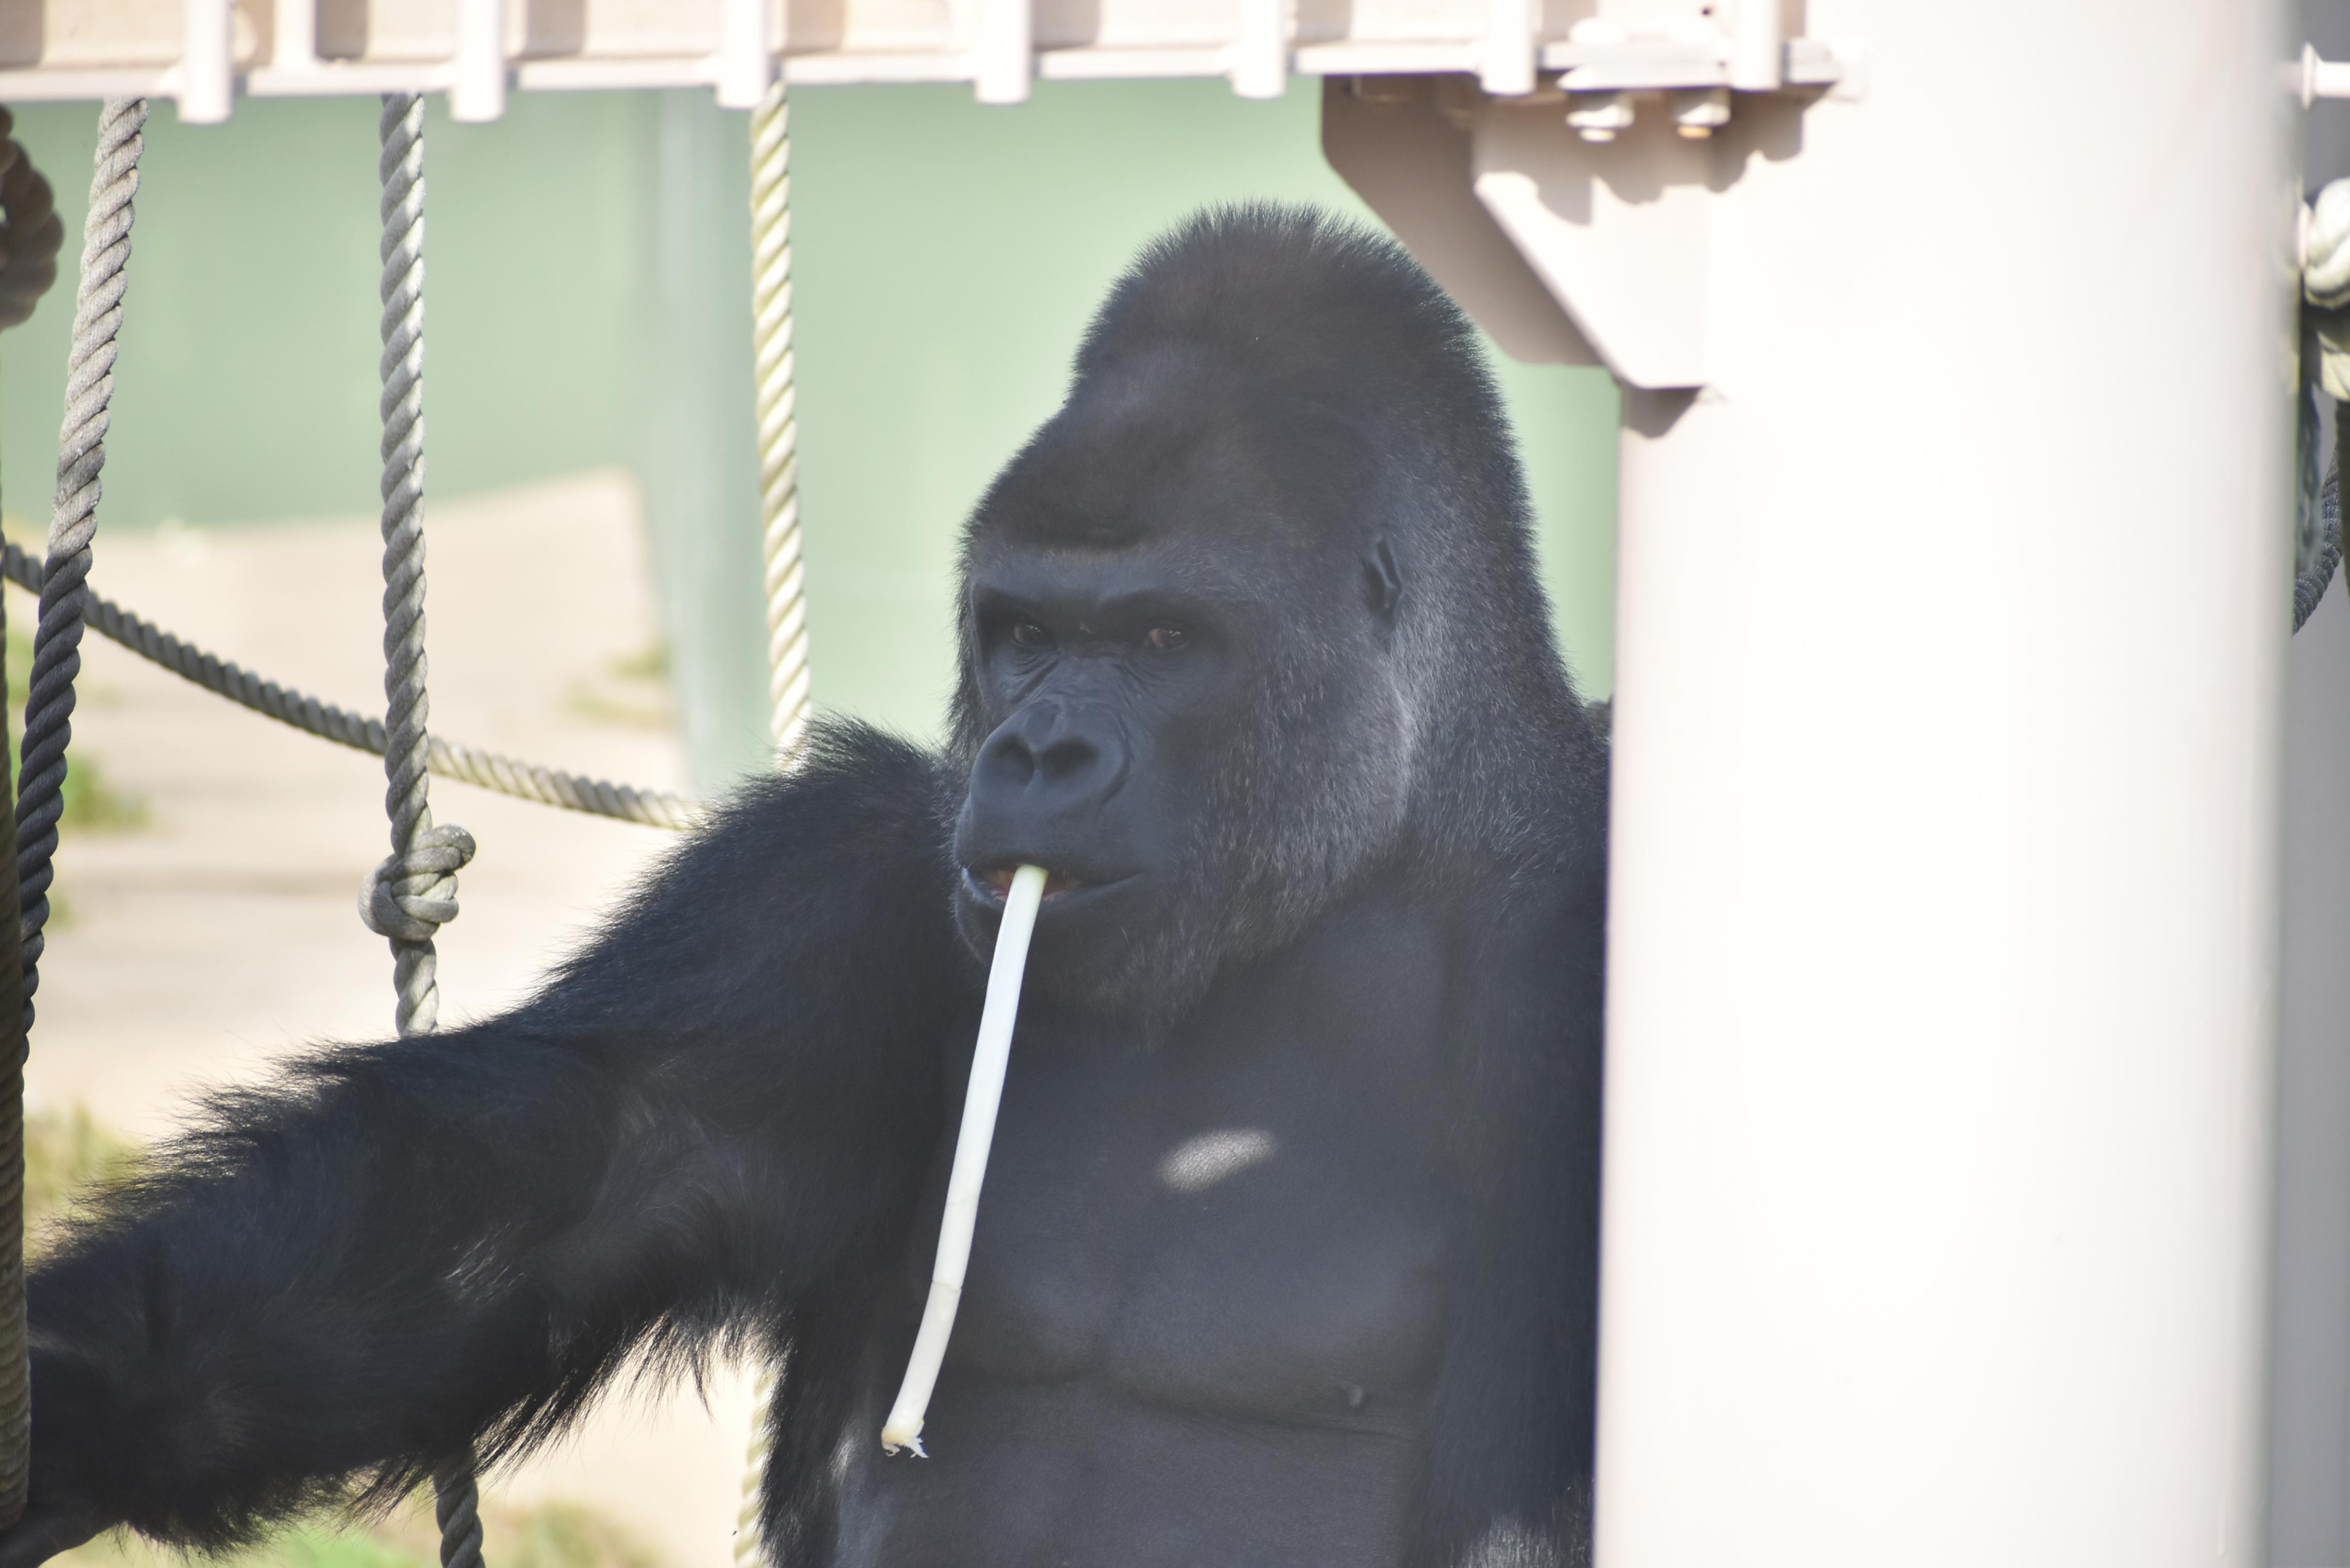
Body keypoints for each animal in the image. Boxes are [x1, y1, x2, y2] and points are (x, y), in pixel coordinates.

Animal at [4, 208, 1617, 1568]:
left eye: (1165, 639)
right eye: (1024, 632)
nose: (1039, 748)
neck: (1357, 868)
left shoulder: (1578, 927)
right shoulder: (838, 879)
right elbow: (522, 1207)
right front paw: (64, 1397)